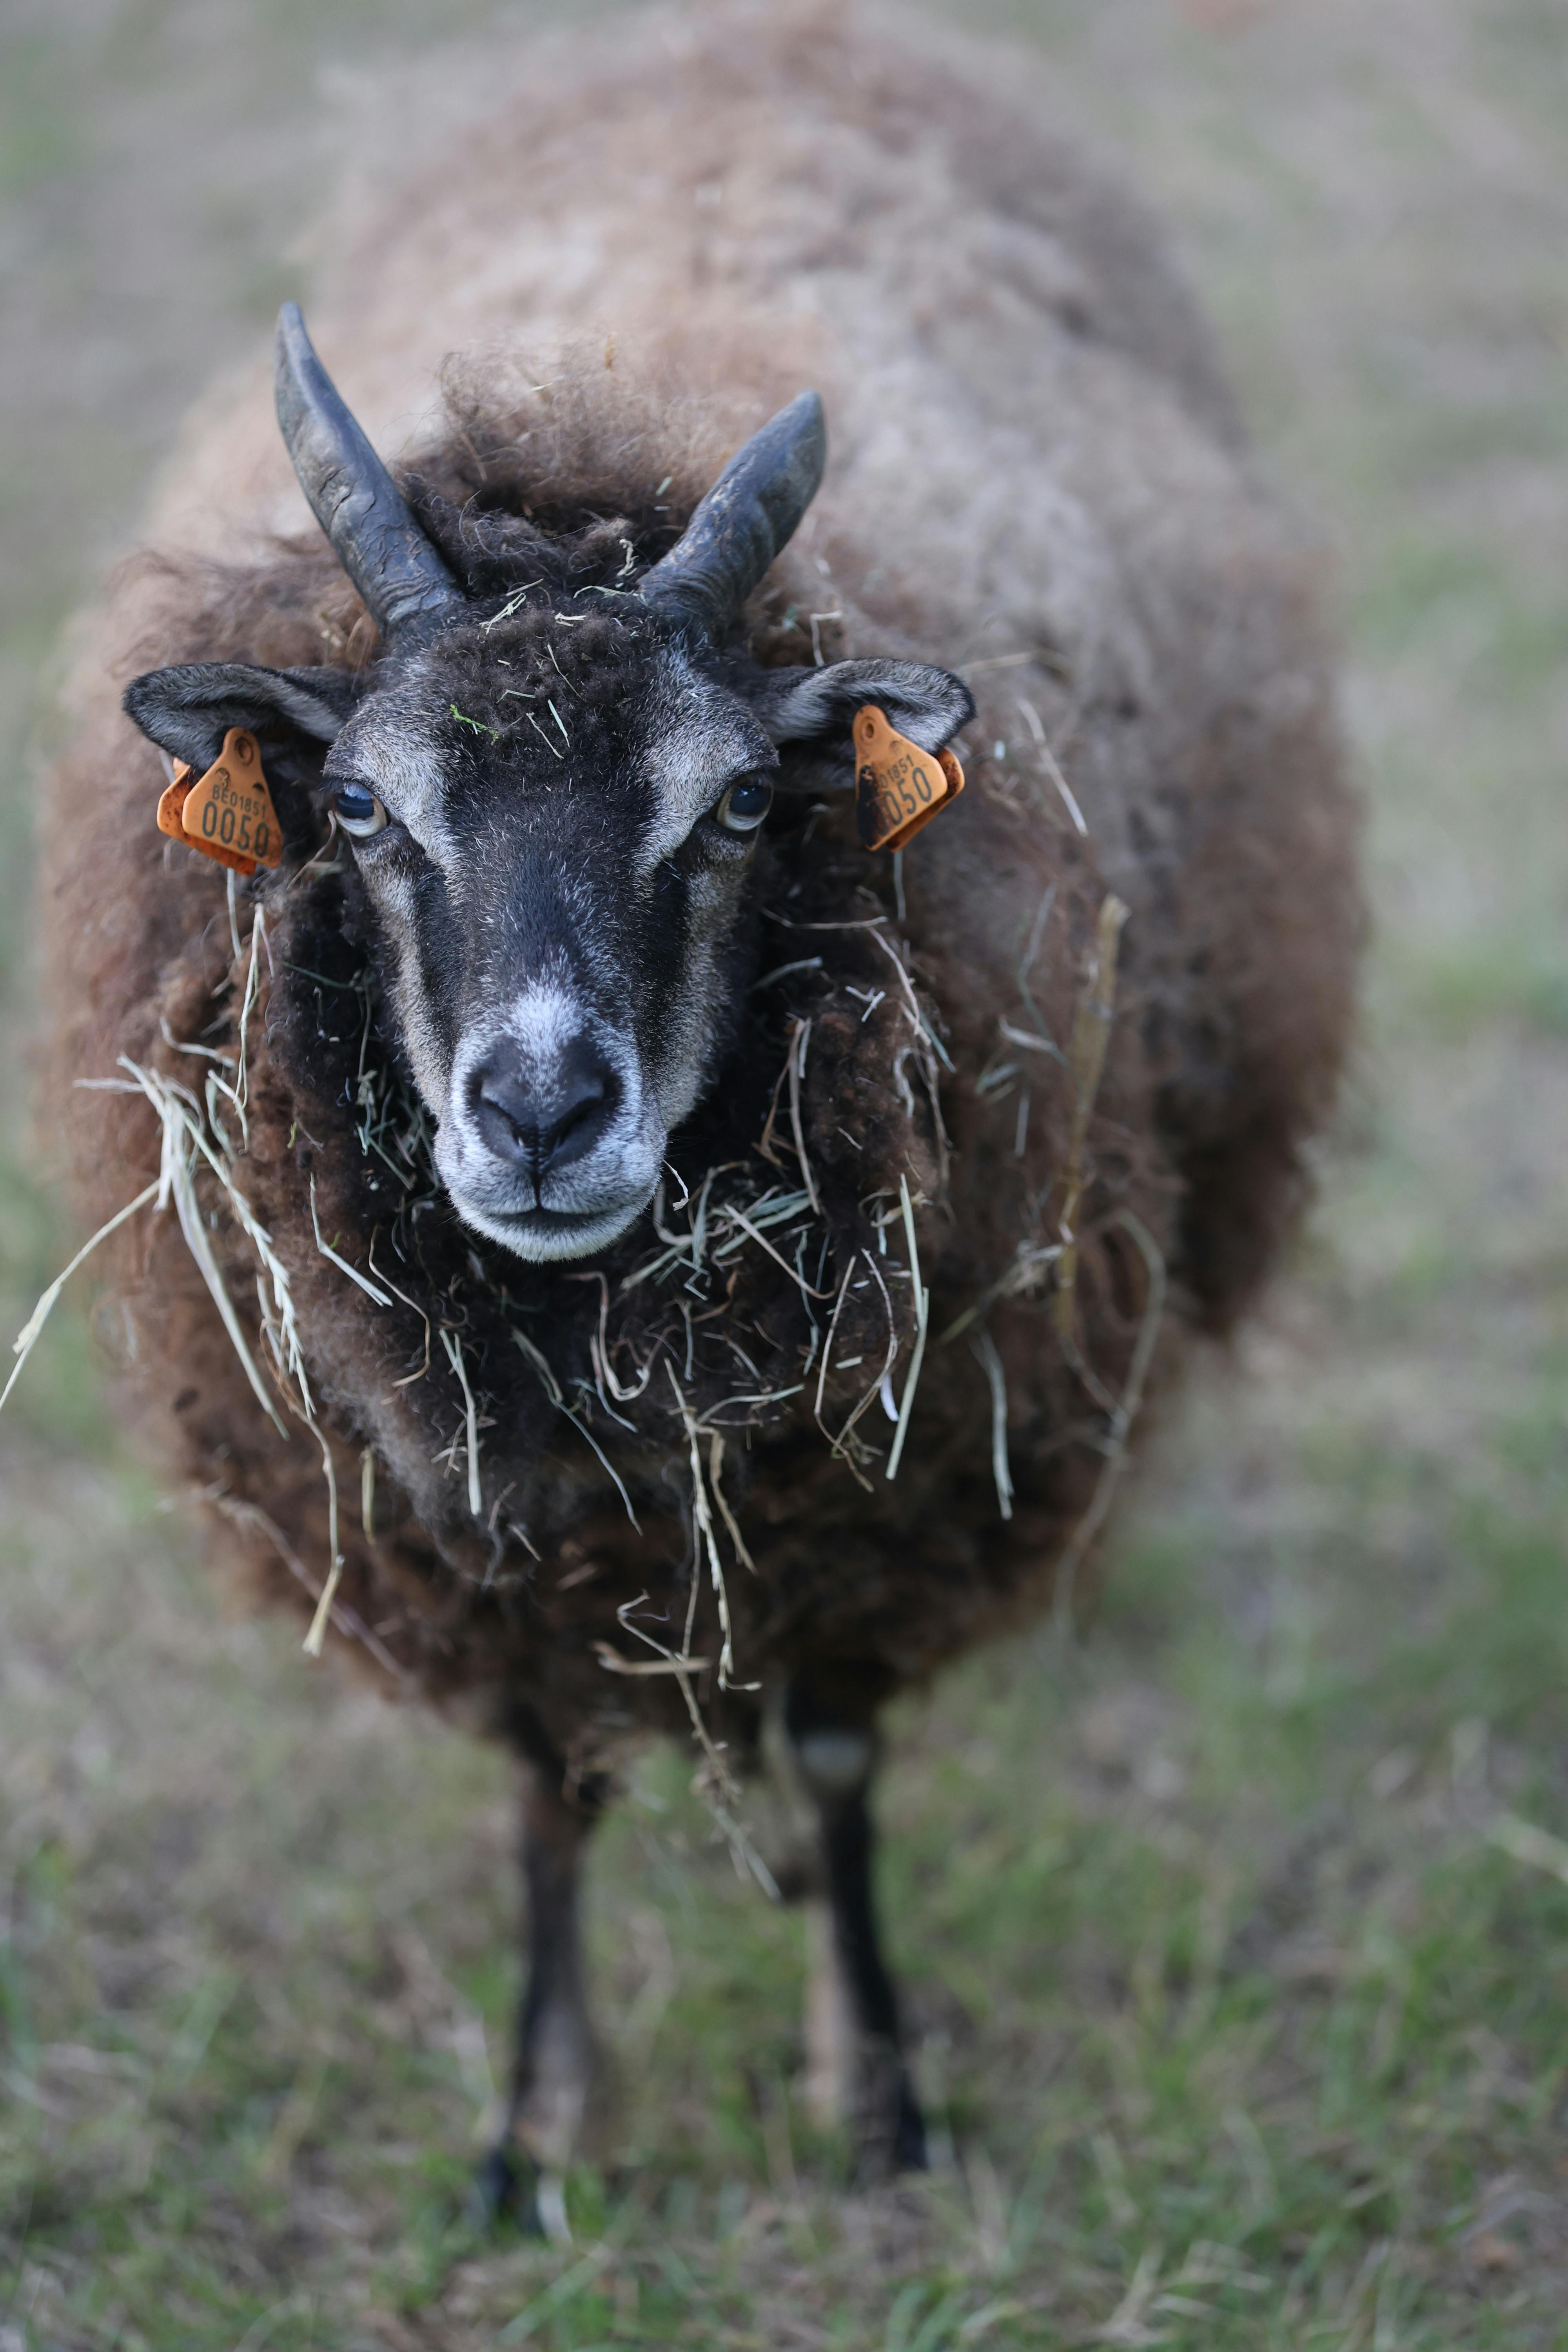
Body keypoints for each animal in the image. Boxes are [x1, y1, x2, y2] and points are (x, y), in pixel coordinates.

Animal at [35, 0, 1361, 2213]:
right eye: (360, 805)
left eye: (741, 801)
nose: (541, 1109)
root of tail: (763, 28)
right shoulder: (466, 1530)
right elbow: (543, 1787)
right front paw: (529, 2131)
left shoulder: (881, 1476)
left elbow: (829, 1758)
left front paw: (878, 2091)